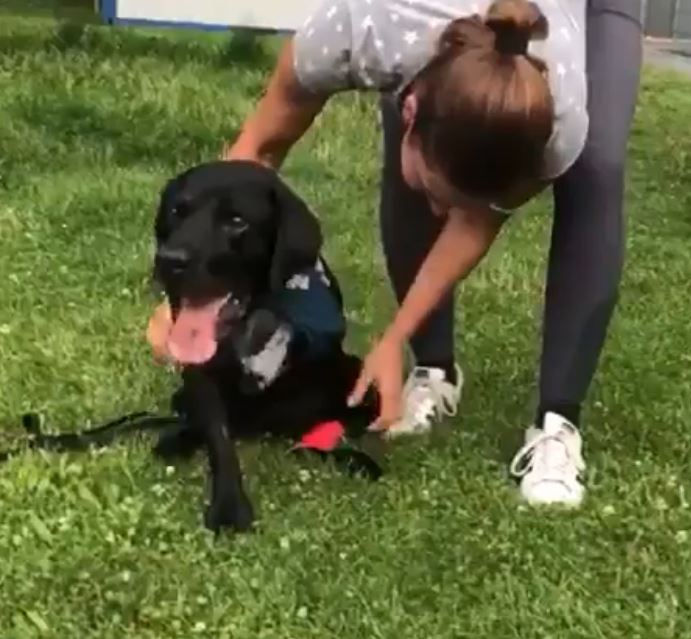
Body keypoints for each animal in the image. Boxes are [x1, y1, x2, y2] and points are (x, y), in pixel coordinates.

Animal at [152, 161, 378, 536]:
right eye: (176, 212)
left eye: (237, 220)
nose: (168, 261)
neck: (255, 316)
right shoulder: (200, 375)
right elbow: (219, 439)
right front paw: (229, 507)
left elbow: (313, 422)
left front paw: (344, 455)